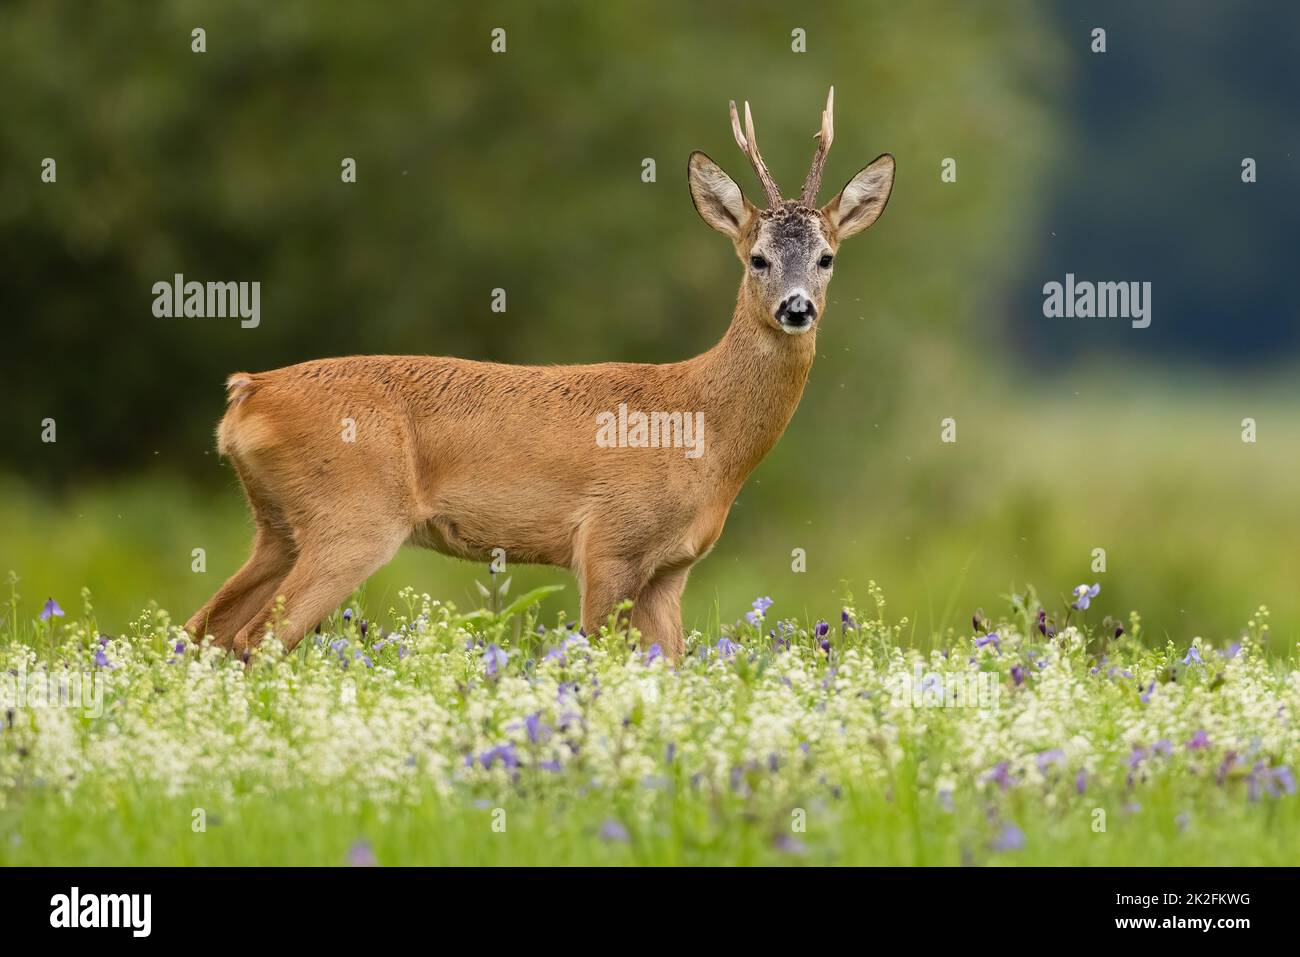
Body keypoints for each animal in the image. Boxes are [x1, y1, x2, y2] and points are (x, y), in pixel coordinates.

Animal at [185, 89, 894, 657]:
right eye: (757, 258)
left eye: (827, 257)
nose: (796, 308)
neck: (705, 431)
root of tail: (248, 393)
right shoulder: (606, 542)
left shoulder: (672, 568)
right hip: (351, 518)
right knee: (252, 639)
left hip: (277, 527)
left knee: (203, 631)